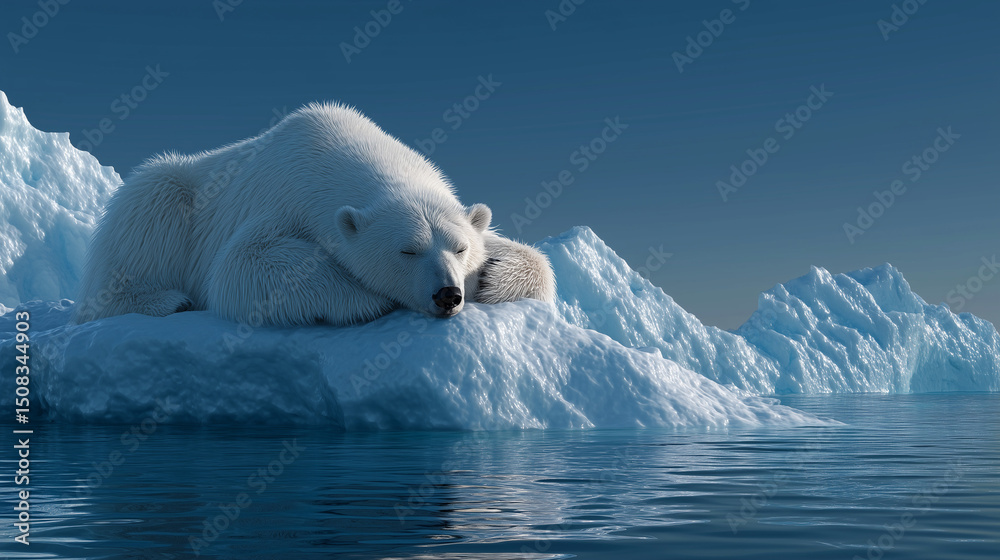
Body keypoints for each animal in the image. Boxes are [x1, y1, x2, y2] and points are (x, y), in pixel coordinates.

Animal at [72, 102, 555, 326]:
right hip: (173, 194)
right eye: (407, 251)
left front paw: (493, 277)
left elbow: (530, 256)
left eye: (460, 248)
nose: (448, 295)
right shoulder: (281, 196)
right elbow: (240, 266)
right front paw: (362, 297)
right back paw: (168, 300)